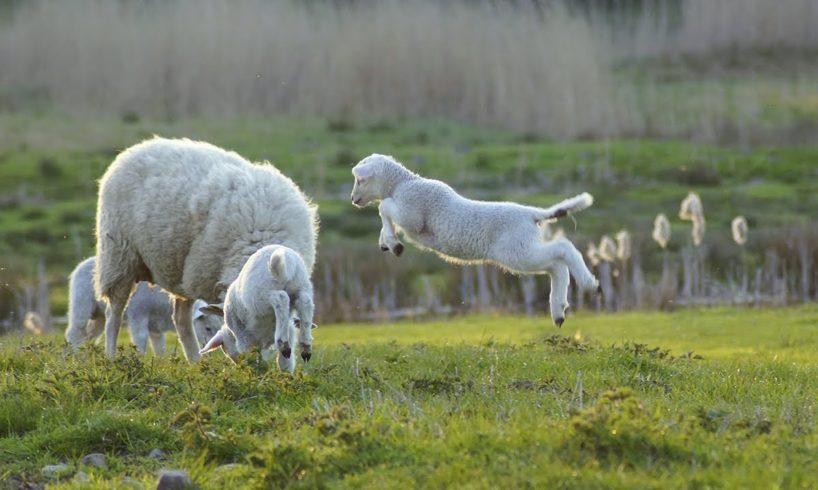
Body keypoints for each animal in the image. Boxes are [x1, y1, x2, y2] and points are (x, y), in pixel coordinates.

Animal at [197, 243, 312, 374]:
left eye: (224, 348)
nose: (237, 364)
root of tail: (288, 260)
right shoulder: (290, 329)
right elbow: (284, 362)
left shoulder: (243, 336)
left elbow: (250, 355)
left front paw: (255, 372)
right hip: (301, 285)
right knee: (305, 301)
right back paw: (305, 347)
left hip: (260, 296)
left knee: (280, 298)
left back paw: (283, 343)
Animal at [350, 153, 600, 326]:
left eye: (360, 180)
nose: (353, 199)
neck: (402, 184)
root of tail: (532, 214)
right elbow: (385, 214)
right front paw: (387, 242)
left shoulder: (412, 214)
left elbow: (384, 207)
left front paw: (393, 243)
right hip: (523, 250)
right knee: (556, 266)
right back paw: (558, 310)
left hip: (517, 251)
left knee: (563, 249)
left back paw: (589, 284)